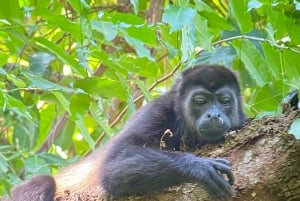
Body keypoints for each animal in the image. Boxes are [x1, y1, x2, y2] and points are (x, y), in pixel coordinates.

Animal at [7, 65, 246, 201]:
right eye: (200, 101)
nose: (213, 115)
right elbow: (112, 167)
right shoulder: (157, 110)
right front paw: (199, 166)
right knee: (43, 182)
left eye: (224, 101)